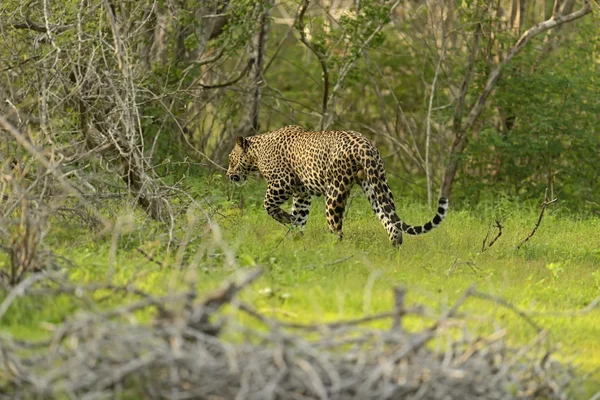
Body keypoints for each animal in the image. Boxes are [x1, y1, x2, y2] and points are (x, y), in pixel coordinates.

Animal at [227, 125, 448, 245]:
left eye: (230, 159)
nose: (228, 175)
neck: (256, 153)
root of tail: (366, 145)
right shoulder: (302, 194)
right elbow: (300, 217)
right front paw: (296, 238)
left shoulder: (282, 183)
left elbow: (268, 205)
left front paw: (288, 221)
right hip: (376, 185)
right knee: (392, 224)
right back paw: (394, 254)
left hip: (334, 192)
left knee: (337, 230)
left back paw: (331, 252)